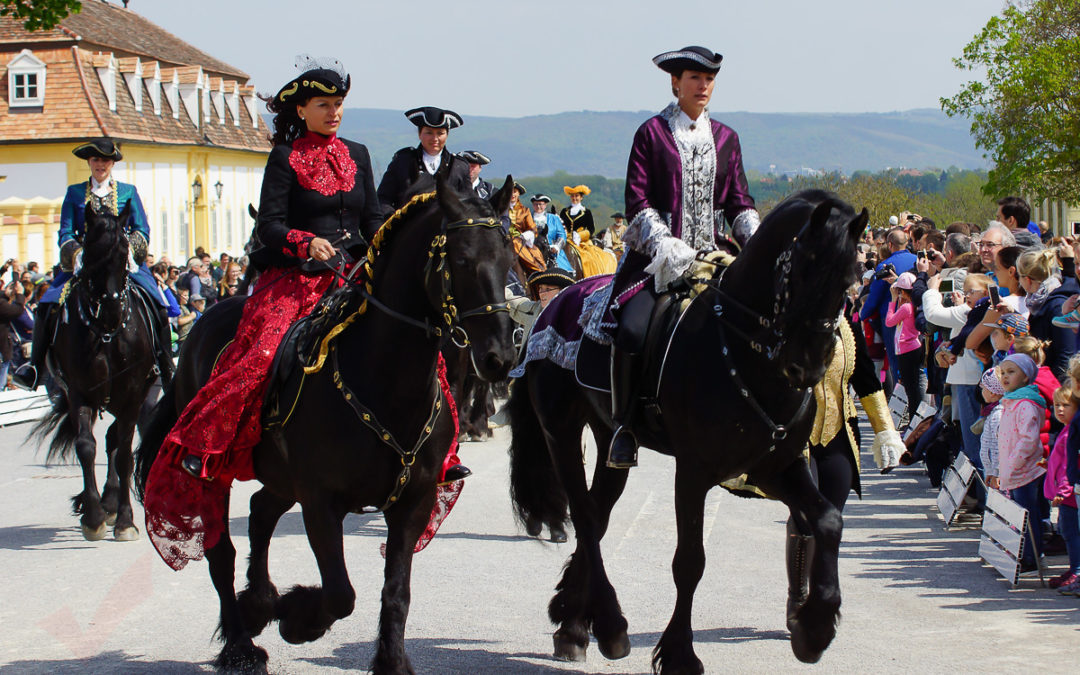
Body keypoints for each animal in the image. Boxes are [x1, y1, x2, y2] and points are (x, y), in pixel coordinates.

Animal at [31, 203, 159, 540]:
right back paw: (105, 505)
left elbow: (125, 453)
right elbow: (86, 447)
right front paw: (93, 517)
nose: (111, 309)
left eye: (124, 251)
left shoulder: (133, 394)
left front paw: (125, 520)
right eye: (89, 251)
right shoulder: (79, 391)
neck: (106, 332)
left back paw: (113, 503)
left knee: (115, 440)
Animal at [133, 174, 514, 673]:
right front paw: (297, 620)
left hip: (279, 475)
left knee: (260, 511)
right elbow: (340, 594)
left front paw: (391, 661)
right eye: (462, 259)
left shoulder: (413, 501)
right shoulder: (320, 501)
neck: (383, 383)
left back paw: (258, 603)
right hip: (215, 474)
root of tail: (204, 322)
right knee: (221, 553)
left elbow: (396, 593)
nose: (499, 356)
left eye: (508, 259)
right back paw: (240, 644)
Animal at [505, 187, 868, 669]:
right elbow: (690, 561)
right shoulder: (694, 472)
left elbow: (827, 520)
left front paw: (816, 628)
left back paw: (576, 626)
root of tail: (550, 308)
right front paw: (679, 654)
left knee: (596, 518)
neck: (743, 352)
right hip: (559, 431)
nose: (807, 366)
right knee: (582, 516)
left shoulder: (776, 467)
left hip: (610, 440)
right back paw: (608, 627)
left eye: (850, 276)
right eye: (805, 268)